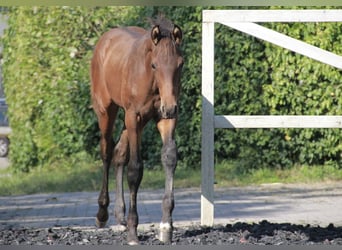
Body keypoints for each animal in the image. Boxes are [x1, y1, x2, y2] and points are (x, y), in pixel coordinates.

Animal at [89, 17, 183, 244]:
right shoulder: (134, 116)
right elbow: (135, 170)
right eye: (154, 64)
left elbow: (169, 158)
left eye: (180, 64)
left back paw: (119, 214)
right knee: (107, 151)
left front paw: (166, 226)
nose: (170, 107)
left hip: (130, 121)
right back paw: (102, 214)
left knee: (119, 154)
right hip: (107, 111)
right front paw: (133, 230)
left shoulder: (164, 118)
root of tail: (104, 40)